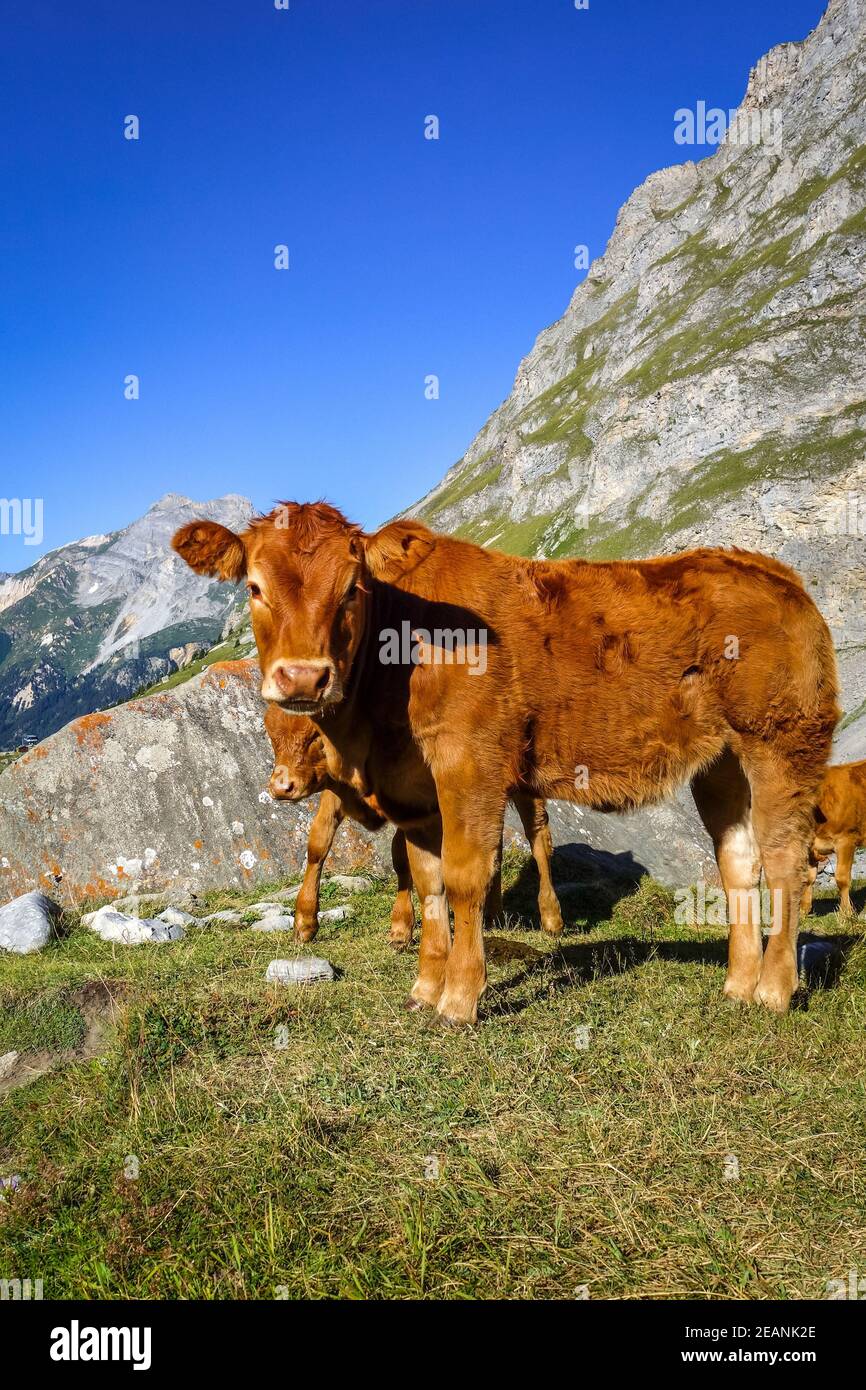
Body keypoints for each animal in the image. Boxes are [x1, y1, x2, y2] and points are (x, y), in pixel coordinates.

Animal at [262, 706, 561, 945]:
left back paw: (551, 917)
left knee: (539, 837)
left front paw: (401, 927)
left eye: (315, 735)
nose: (280, 788)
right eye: (270, 731)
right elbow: (319, 840)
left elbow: (401, 854)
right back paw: (492, 913)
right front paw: (304, 923)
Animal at [800, 756, 866, 917]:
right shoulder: (810, 847)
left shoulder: (846, 840)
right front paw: (804, 910)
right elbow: (809, 878)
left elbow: (842, 878)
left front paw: (846, 913)